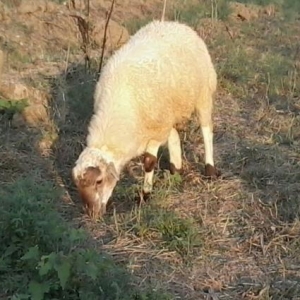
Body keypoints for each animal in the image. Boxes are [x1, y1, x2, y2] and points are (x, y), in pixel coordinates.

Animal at [72, 20, 219, 218]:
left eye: (99, 181)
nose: (92, 213)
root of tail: (175, 24)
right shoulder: (159, 124)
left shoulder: (156, 130)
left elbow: (149, 162)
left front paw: (145, 195)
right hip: (169, 112)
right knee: (174, 135)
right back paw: (175, 169)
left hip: (203, 95)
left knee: (206, 131)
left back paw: (209, 169)